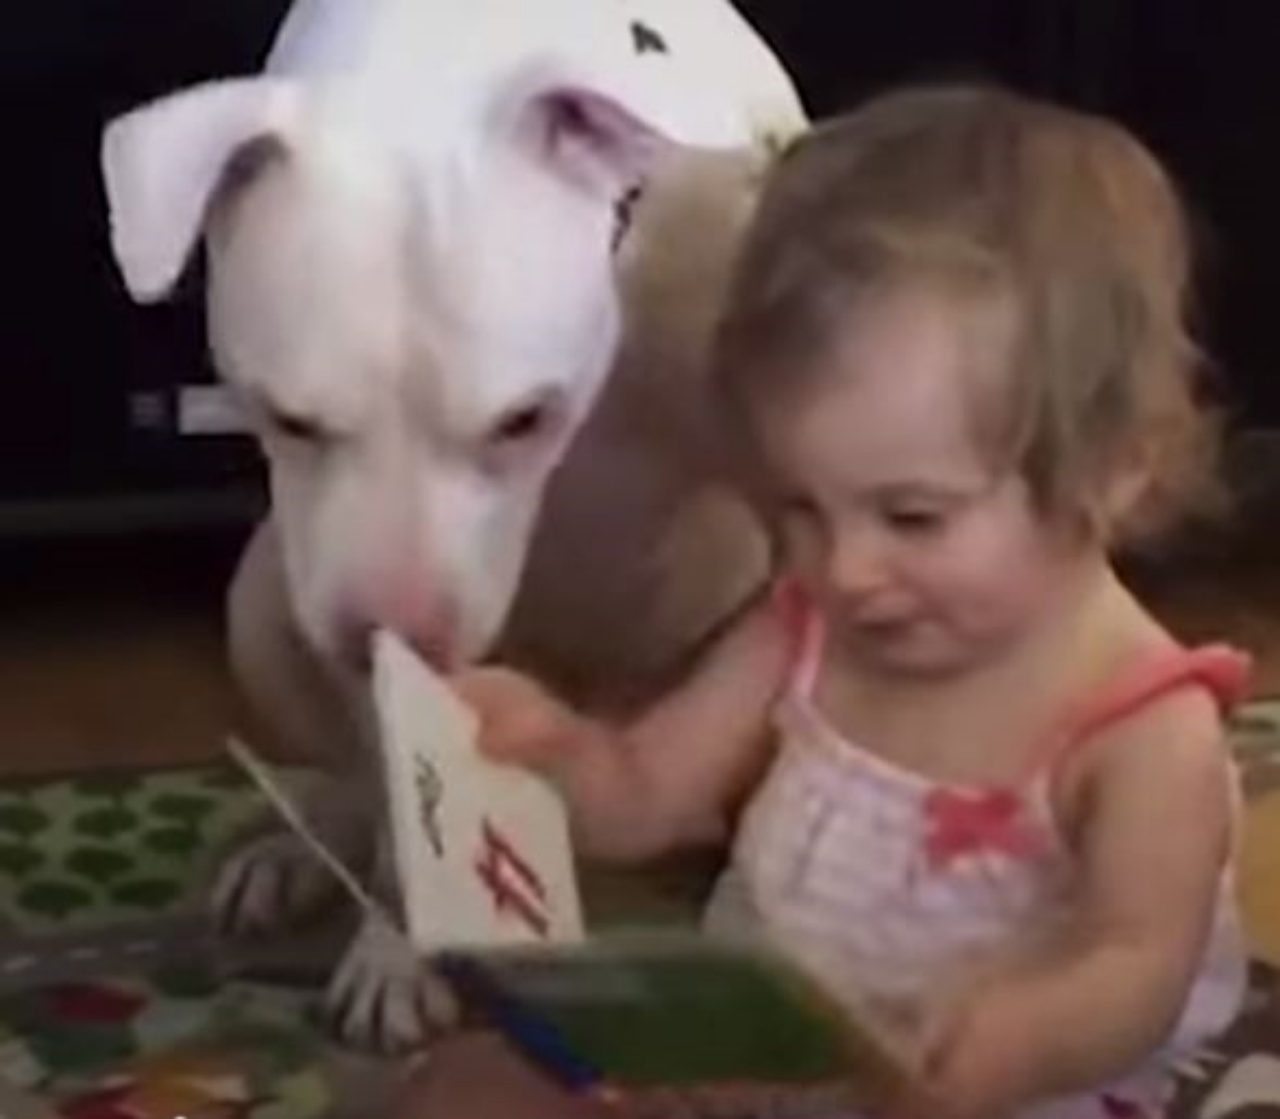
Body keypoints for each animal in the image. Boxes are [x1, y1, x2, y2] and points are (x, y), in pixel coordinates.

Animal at [102, 0, 798, 1044]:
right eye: (289, 419)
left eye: (526, 419)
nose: (393, 630)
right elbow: (399, 792)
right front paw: (399, 951)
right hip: (261, 605)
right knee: (350, 781)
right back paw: (298, 854)